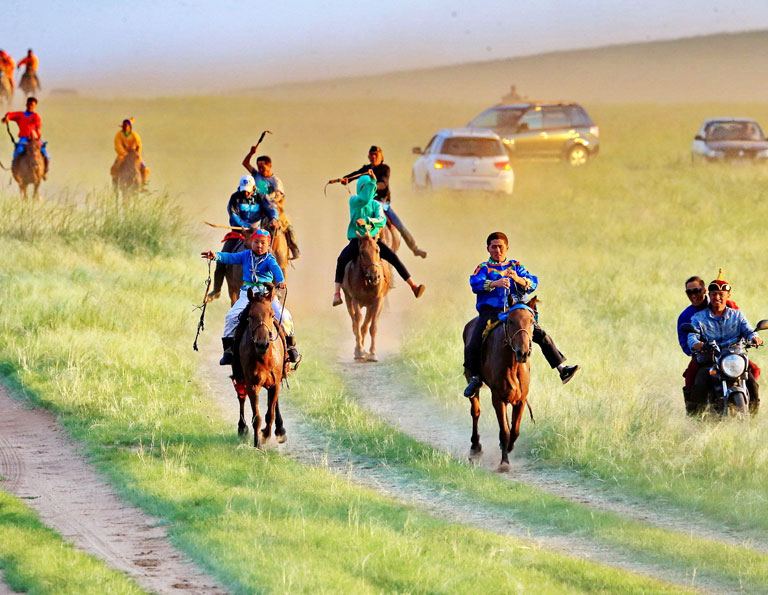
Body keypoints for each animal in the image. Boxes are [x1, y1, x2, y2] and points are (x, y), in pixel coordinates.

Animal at [234, 284, 288, 448]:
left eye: (272, 315)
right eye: (250, 316)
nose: (262, 344)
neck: (263, 357)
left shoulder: (275, 383)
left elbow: (270, 413)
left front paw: (266, 435)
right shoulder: (252, 384)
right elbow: (256, 417)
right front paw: (257, 444)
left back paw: (280, 430)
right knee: (241, 397)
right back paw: (242, 427)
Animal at [342, 232, 390, 364]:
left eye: (377, 250)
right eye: (362, 252)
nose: (374, 276)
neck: (367, 281)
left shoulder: (377, 301)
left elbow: (372, 326)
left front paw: (372, 353)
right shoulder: (355, 298)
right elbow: (358, 319)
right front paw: (359, 351)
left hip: (370, 304)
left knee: (365, 325)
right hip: (348, 298)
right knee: (355, 321)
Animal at [462, 300, 536, 472]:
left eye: (531, 321)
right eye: (511, 321)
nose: (523, 352)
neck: (513, 365)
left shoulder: (521, 400)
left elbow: (514, 430)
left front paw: (509, 448)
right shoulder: (498, 398)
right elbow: (504, 432)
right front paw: (504, 463)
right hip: (471, 380)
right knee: (475, 411)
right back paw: (475, 447)